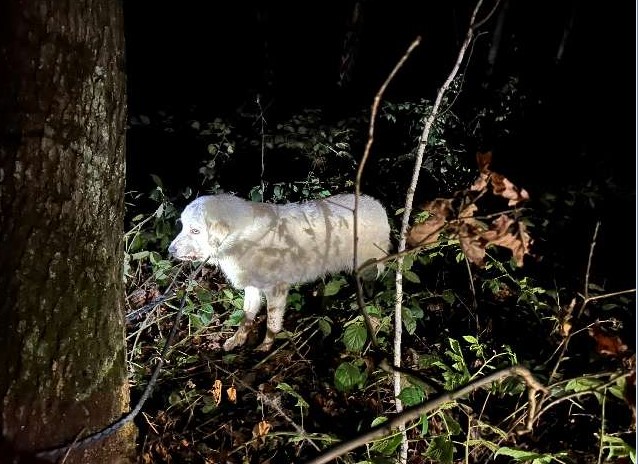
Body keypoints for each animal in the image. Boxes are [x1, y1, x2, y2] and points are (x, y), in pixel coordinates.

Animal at [168, 193, 392, 352]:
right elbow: (246, 319)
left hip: (370, 266)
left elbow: (272, 323)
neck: (241, 238)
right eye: (183, 226)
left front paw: (265, 348)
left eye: (195, 230)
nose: (170, 250)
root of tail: (378, 206)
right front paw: (237, 340)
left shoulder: (276, 289)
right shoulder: (252, 287)